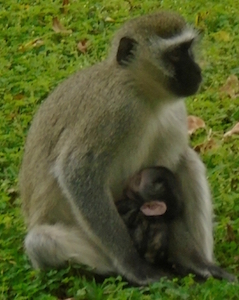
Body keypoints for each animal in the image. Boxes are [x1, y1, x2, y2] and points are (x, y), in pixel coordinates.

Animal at [19, 11, 234, 284]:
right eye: (175, 54)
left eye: (188, 49)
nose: (197, 71)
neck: (142, 94)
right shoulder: (113, 110)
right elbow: (78, 171)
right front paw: (135, 266)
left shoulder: (173, 113)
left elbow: (166, 179)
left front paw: (196, 262)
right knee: (42, 242)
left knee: (187, 163)